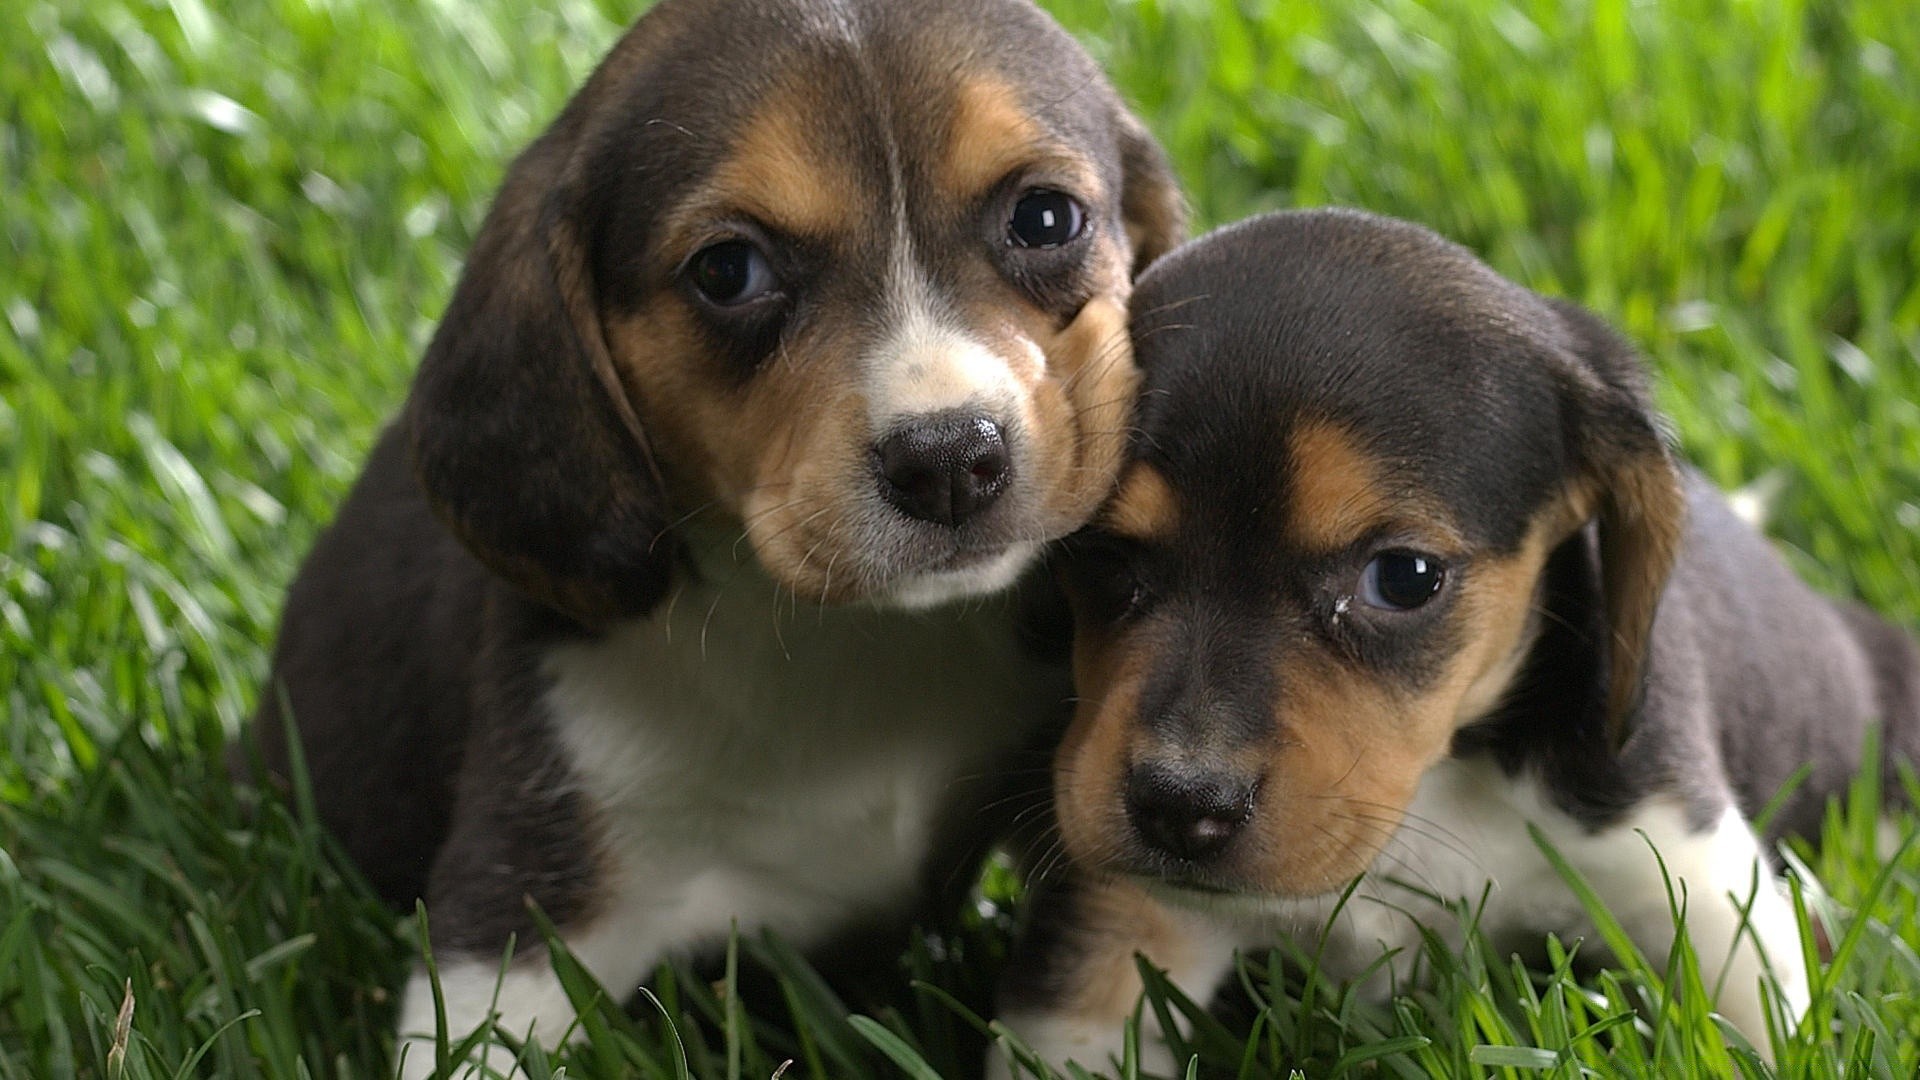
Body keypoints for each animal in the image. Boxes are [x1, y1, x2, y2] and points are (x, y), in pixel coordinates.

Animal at [990, 208, 1920, 1068]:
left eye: (1404, 577)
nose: (1180, 808)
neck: (1436, 783)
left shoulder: (1701, 881)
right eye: (1103, 552)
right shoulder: (1115, 934)